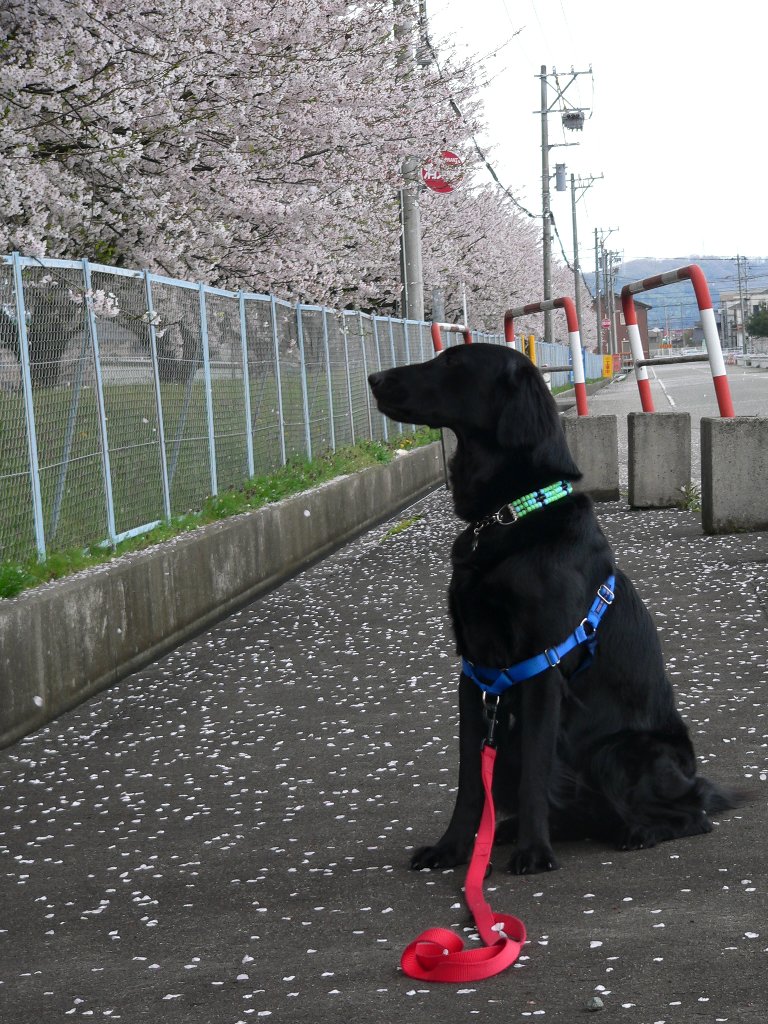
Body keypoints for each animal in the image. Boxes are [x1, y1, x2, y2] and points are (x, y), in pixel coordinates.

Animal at [368, 343, 737, 875]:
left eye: (454, 362)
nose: (374, 379)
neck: (509, 515)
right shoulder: (475, 672)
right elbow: (468, 780)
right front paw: (453, 848)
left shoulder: (541, 666)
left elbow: (537, 770)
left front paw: (534, 854)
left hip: (618, 753)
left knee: (693, 817)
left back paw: (636, 832)